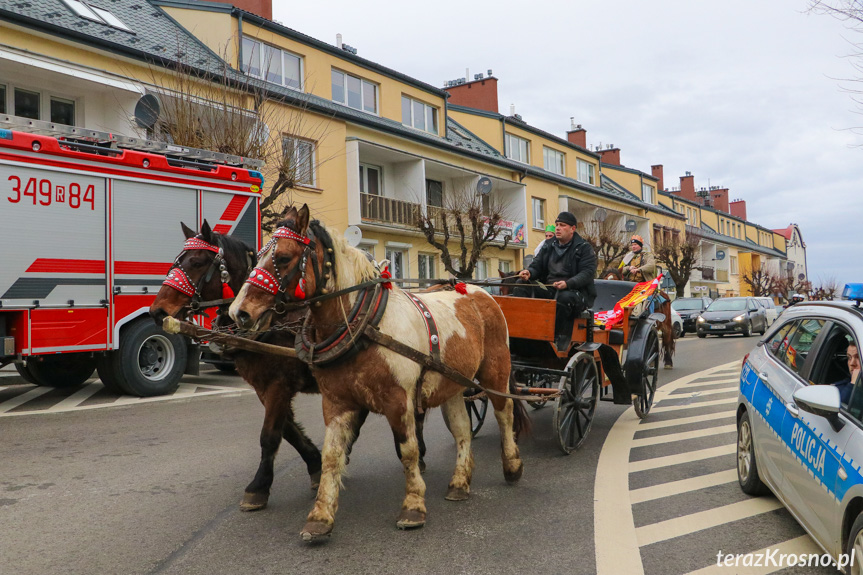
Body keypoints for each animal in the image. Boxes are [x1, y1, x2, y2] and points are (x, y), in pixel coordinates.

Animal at [230, 205, 528, 544]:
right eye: (258, 256)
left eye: (282, 257)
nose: (239, 312)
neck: (364, 325)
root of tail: (478, 291)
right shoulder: (336, 402)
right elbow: (331, 454)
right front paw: (320, 516)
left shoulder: (398, 401)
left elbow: (408, 450)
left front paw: (413, 505)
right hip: (451, 383)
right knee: (462, 430)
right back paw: (459, 482)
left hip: (495, 371)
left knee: (504, 413)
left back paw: (512, 465)